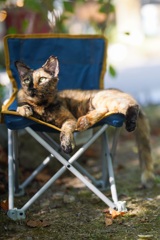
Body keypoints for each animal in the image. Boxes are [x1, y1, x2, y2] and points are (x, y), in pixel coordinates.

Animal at [15, 55, 154, 187]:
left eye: (42, 80)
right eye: (27, 80)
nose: (31, 89)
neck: (41, 107)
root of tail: (120, 90)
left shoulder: (69, 118)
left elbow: (65, 129)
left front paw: (66, 145)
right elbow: (21, 106)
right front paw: (25, 109)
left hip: (100, 99)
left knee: (130, 105)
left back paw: (128, 123)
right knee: (104, 110)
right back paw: (84, 121)